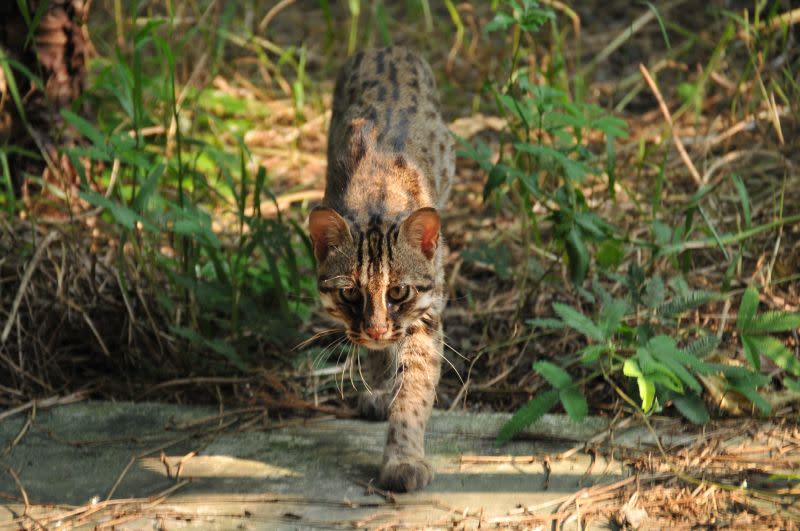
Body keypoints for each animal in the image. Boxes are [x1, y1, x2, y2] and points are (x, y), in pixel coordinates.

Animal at [310, 47, 454, 492]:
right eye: (350, 294)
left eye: (398, 292)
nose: (375, 330)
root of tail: (388, 47)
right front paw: (379, 384)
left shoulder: (425, 313)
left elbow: (415, 389)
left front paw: (403, 456)